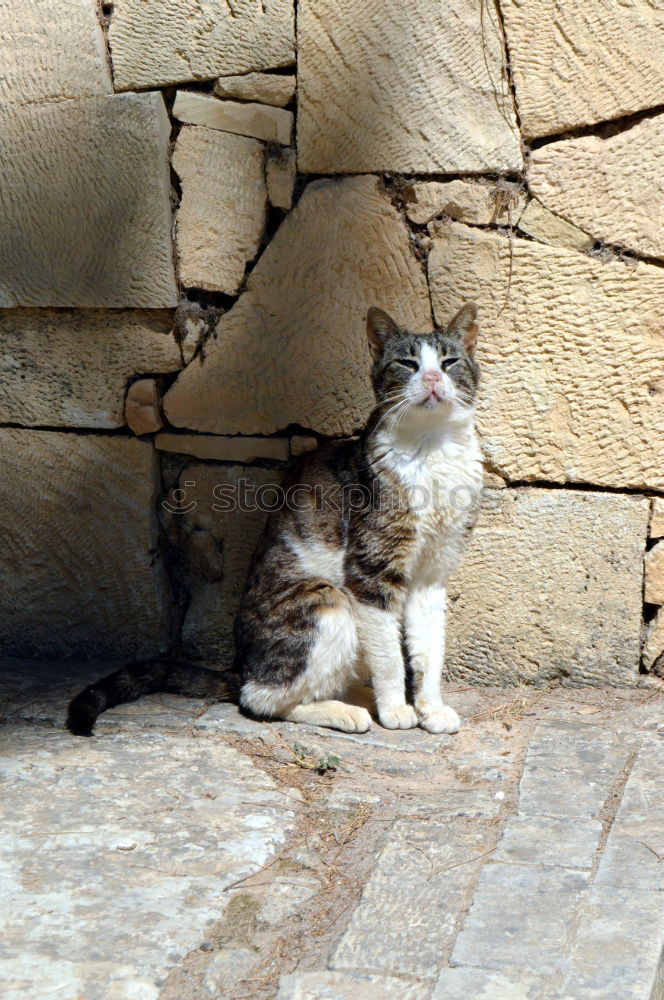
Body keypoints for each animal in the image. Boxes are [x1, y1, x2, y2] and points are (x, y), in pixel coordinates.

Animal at [67, 302, 480, 736]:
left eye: (449, 362)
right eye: (408, 363)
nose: (432, 377)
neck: (433, 449)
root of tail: (240, 665)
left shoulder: (432, 574)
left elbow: (429, 650)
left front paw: (431, 709)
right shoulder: (371, 572)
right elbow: (388, 653)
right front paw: (396, 709)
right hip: (327, 603)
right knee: (261, 697)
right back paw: (345, 711)